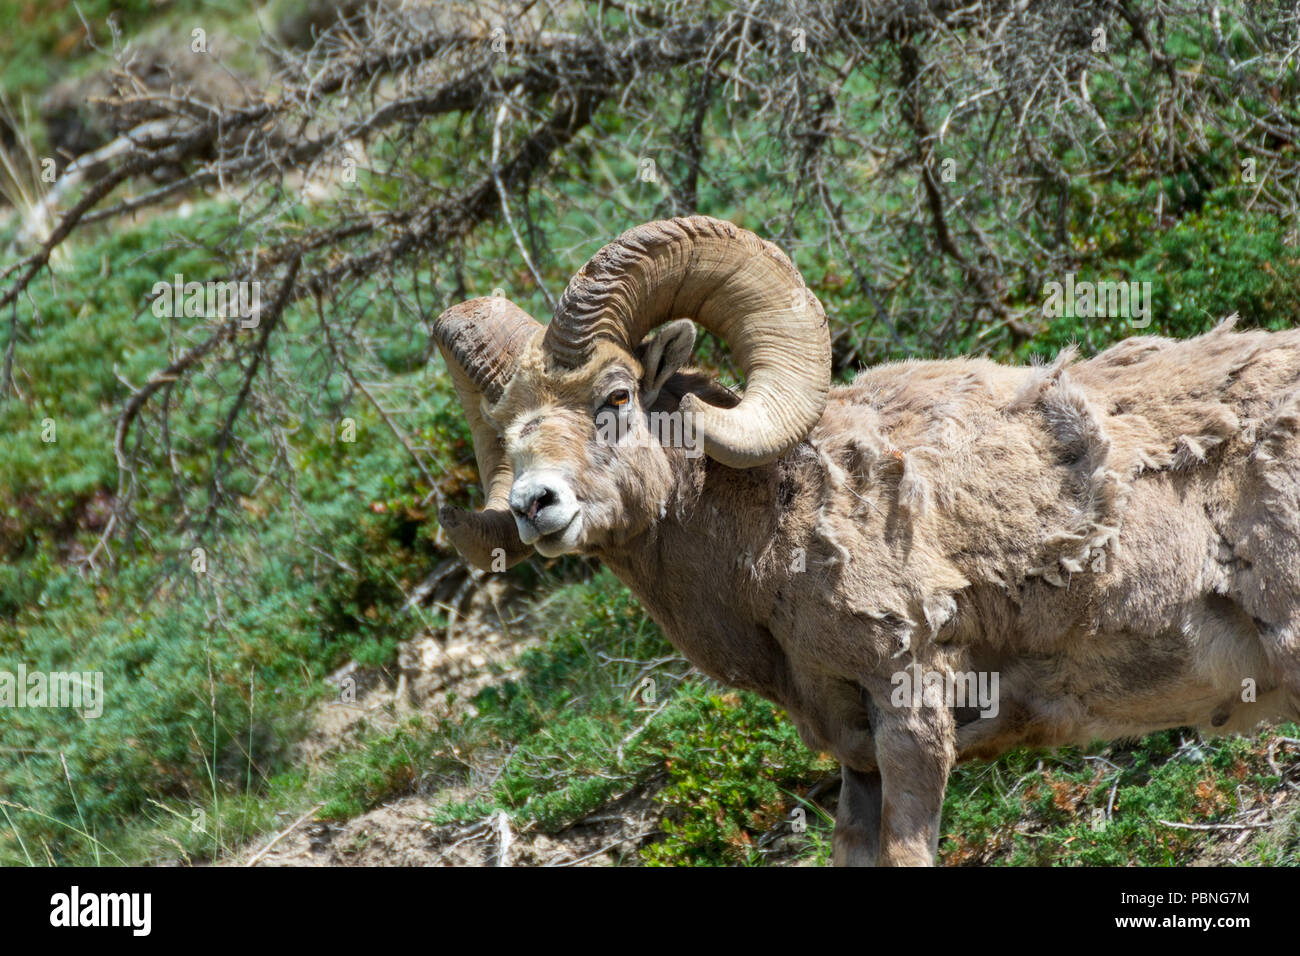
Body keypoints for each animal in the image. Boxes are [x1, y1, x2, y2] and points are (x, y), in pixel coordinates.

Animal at [433, 215, 1300, 866]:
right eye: (506, 432)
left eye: (614, 396)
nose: (535, 505)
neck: (776, 531)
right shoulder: (856, 759)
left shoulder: (911, 719)